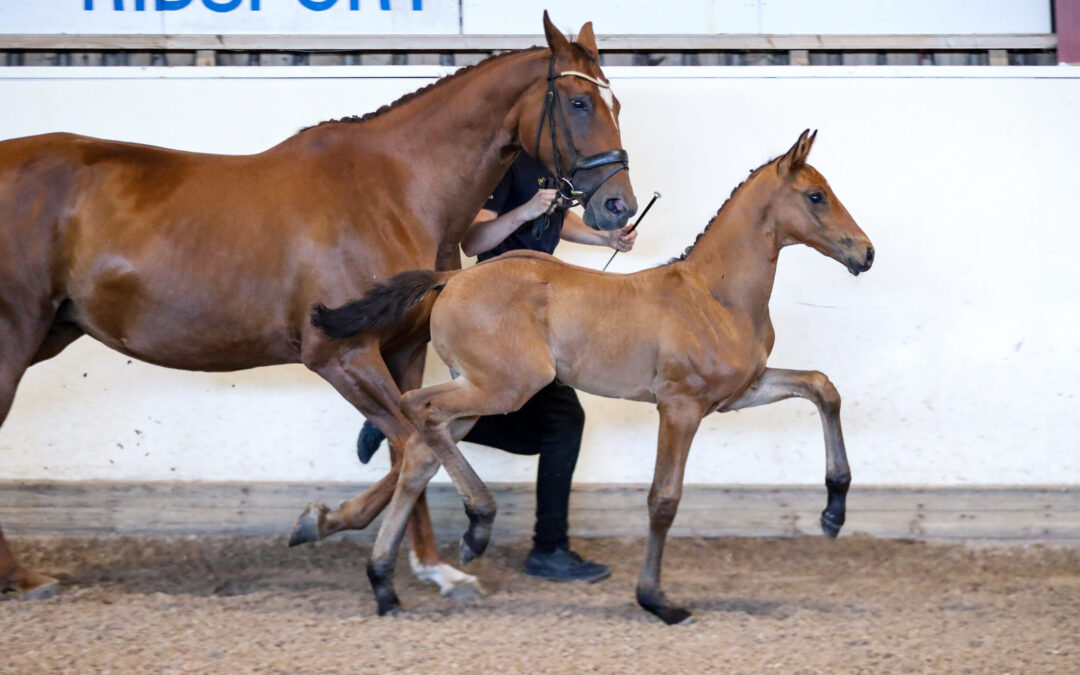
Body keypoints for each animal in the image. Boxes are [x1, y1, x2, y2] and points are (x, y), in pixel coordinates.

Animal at [315, 130, 876, 622]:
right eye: (816, 196)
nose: (865, 253)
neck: (714, 296)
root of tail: (452, 277)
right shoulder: (680, 406)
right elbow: (663, 500)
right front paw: (657, 600)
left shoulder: (738, 392)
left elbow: (821, 386)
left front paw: (834, 511)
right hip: (505, 387)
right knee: (418, 409)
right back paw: (475, 527)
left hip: (478, 392)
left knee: (419, 453)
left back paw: (380, 579)